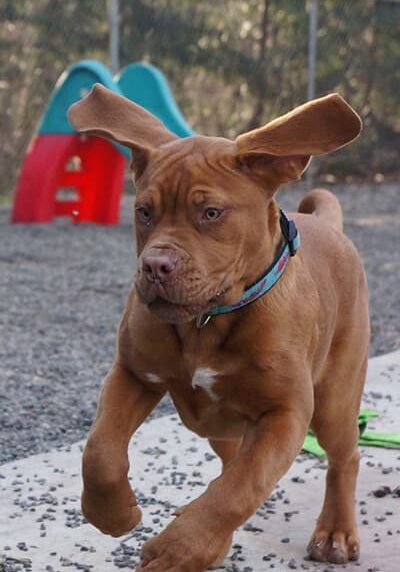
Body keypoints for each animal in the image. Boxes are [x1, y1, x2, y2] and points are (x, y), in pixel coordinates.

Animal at [69, 87, 368, 568]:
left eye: (211, 212)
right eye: (144, 211)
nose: (155, 265)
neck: (207, 321)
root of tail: (329, 225)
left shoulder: (285, 413)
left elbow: (241, 488)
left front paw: (177, 548)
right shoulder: (132, 373)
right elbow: (100, 451)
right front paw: (113, 514)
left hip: (335, 400)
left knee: (344, 457)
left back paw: (336, 532)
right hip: (224, 425)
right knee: (229, 461)